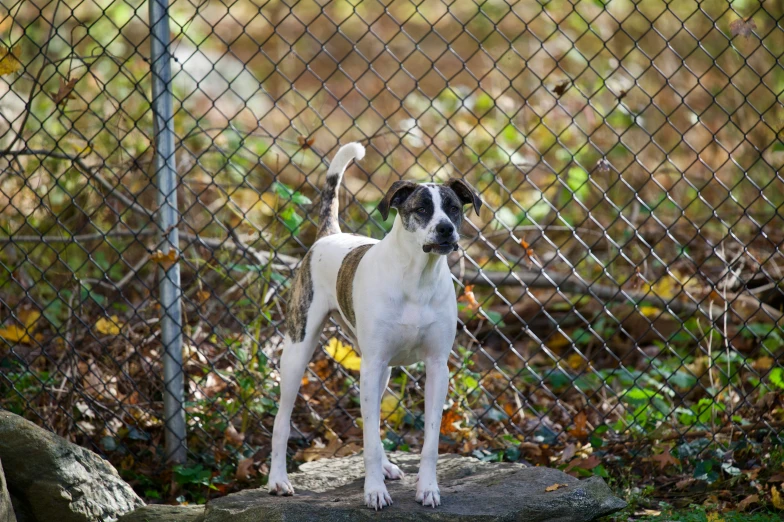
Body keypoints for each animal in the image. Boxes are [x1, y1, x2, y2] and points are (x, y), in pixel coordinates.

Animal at [266, 141, 480, 508]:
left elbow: (430, 441)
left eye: (454, 209)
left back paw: (388, 466)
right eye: (421, 209)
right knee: (282, 421)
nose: (446, 230)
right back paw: (278, 479)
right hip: (298, 353)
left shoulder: (437, 367)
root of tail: (329, 236)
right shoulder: (372, 363)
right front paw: (374, 491)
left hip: (382, 373)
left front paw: (428, 488)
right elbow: (368, 439)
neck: (416, 278)